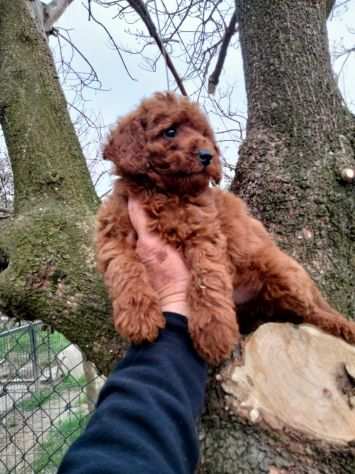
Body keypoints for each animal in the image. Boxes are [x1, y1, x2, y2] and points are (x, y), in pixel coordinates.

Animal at [96, 91, 355, 362]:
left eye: (204, 134)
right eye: (170, 131)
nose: (207, 155)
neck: (164, 192)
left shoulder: (205, 235)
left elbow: (206, 279)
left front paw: (214, 333)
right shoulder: (113, 233)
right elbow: (124, 270)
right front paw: (139, 319)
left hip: (283, 274)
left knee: (315, 311)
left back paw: (344, 326)